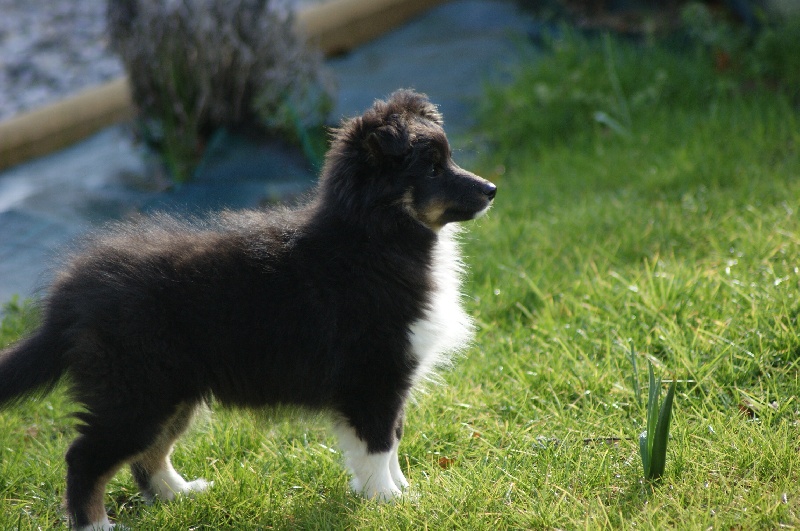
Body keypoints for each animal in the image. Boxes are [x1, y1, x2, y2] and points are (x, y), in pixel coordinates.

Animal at [0, 89, 496, 528]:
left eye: (448, 160)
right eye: (431, 169)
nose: (492, 189)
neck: (375, 236)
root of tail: (71, 293)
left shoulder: (390, 378)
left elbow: (391, 440)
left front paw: (399, 492)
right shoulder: (373, 376)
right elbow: (377, 443)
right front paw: (388, 502)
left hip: (170, 393)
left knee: (148, 455)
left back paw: (180, 495)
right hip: (134, 393)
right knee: (85, 457)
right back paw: (97, 525)